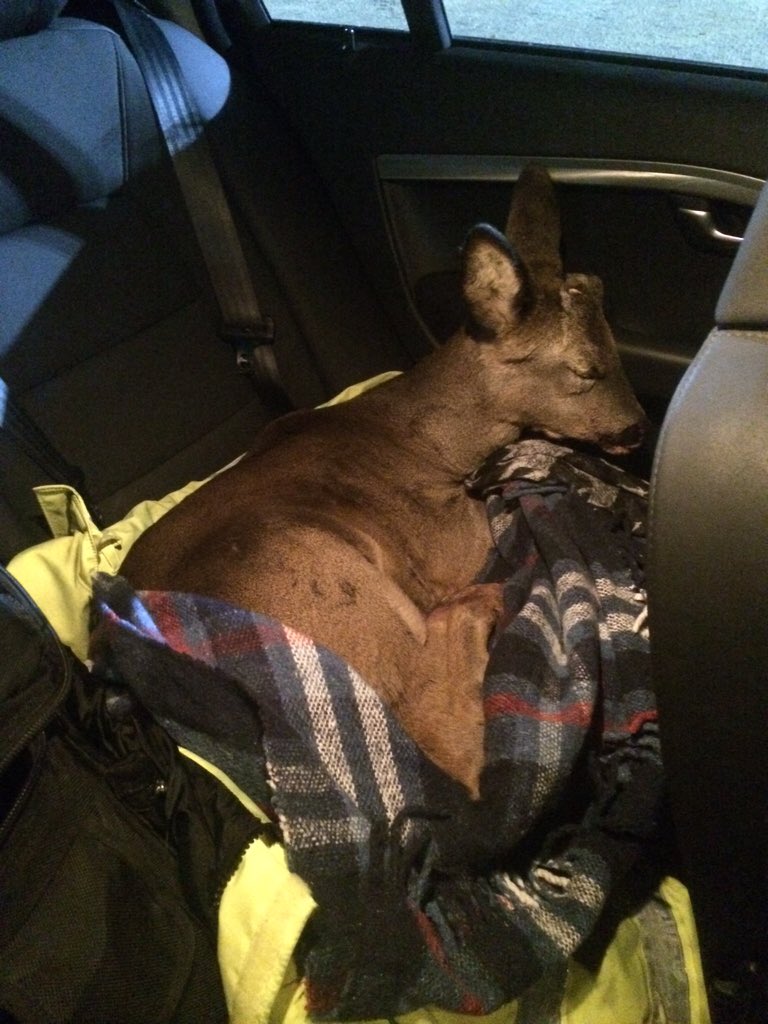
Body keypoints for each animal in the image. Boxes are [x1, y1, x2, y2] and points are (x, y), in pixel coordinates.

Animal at [121, 165, 648, 799]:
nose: (639, 426)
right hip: (317, 574)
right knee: (445, 734)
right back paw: (482, 603)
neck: (431, 437)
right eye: (585, 368)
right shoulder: (444, 535)